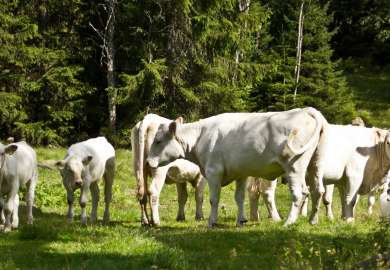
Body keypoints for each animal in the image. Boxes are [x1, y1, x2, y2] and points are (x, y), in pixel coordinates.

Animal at [146, 108, 326, 227]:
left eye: (159, 141)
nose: (147, 162)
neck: (201, 136)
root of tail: (304, 111)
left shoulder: (213, 172)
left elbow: (214, 199)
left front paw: (211, 222)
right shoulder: (241, 173)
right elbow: (239, 198)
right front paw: (241, 220)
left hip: (295, 166)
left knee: (299, 193)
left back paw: (288, 222)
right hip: (314, 166)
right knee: (316, 191)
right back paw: (312, 221)